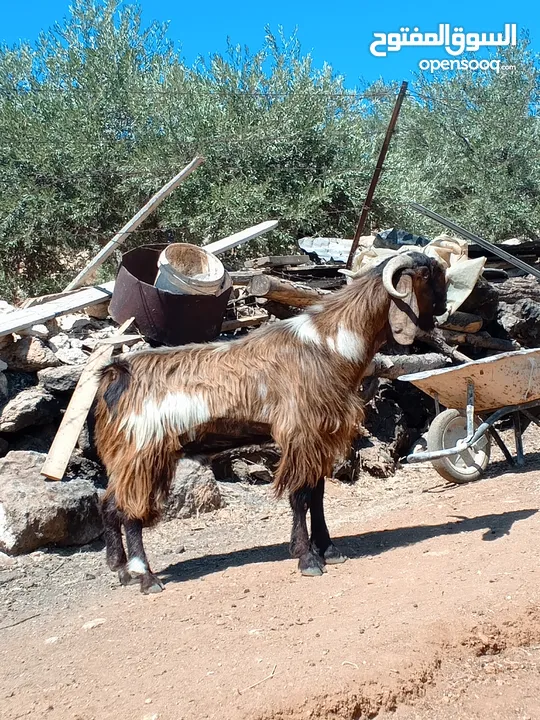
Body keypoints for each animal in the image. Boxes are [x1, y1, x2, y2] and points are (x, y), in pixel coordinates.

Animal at [96, 252, 448, 592]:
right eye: (428, 274)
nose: (444, 308)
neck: (329, 342)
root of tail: (116, 376)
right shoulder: (301, 433)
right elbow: (300, 496)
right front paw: (307, 558)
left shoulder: (319, 436)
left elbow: (317, 494)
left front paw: (329, 550)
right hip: (141, 453)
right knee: (129, 511)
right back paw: (145, 577)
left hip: (127, 458)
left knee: (109, 505)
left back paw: (122, 570)